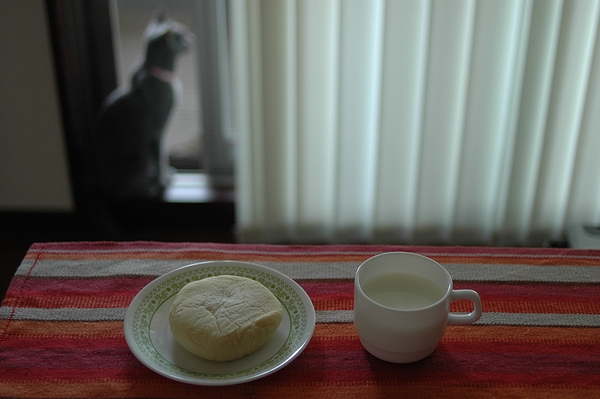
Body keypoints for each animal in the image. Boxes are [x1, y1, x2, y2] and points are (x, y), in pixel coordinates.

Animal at [92, 9, 193, 202]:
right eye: (183, 34)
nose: (192, 37)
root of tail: (103, 190)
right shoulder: (159, 130)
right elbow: (161, 156)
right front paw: (164, 179)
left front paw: (164, 176)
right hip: (140, 155)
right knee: (130, 189)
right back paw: (151, 188)